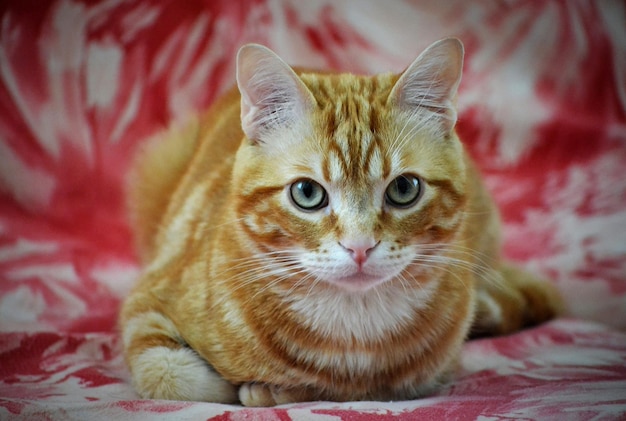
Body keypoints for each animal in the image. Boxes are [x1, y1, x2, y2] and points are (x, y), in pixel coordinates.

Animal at [117, 37, 560, 406]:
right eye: (307, 193)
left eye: (404, 188)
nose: (359, 246)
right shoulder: (149, 296)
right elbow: (172, 377)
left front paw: (276, 391)